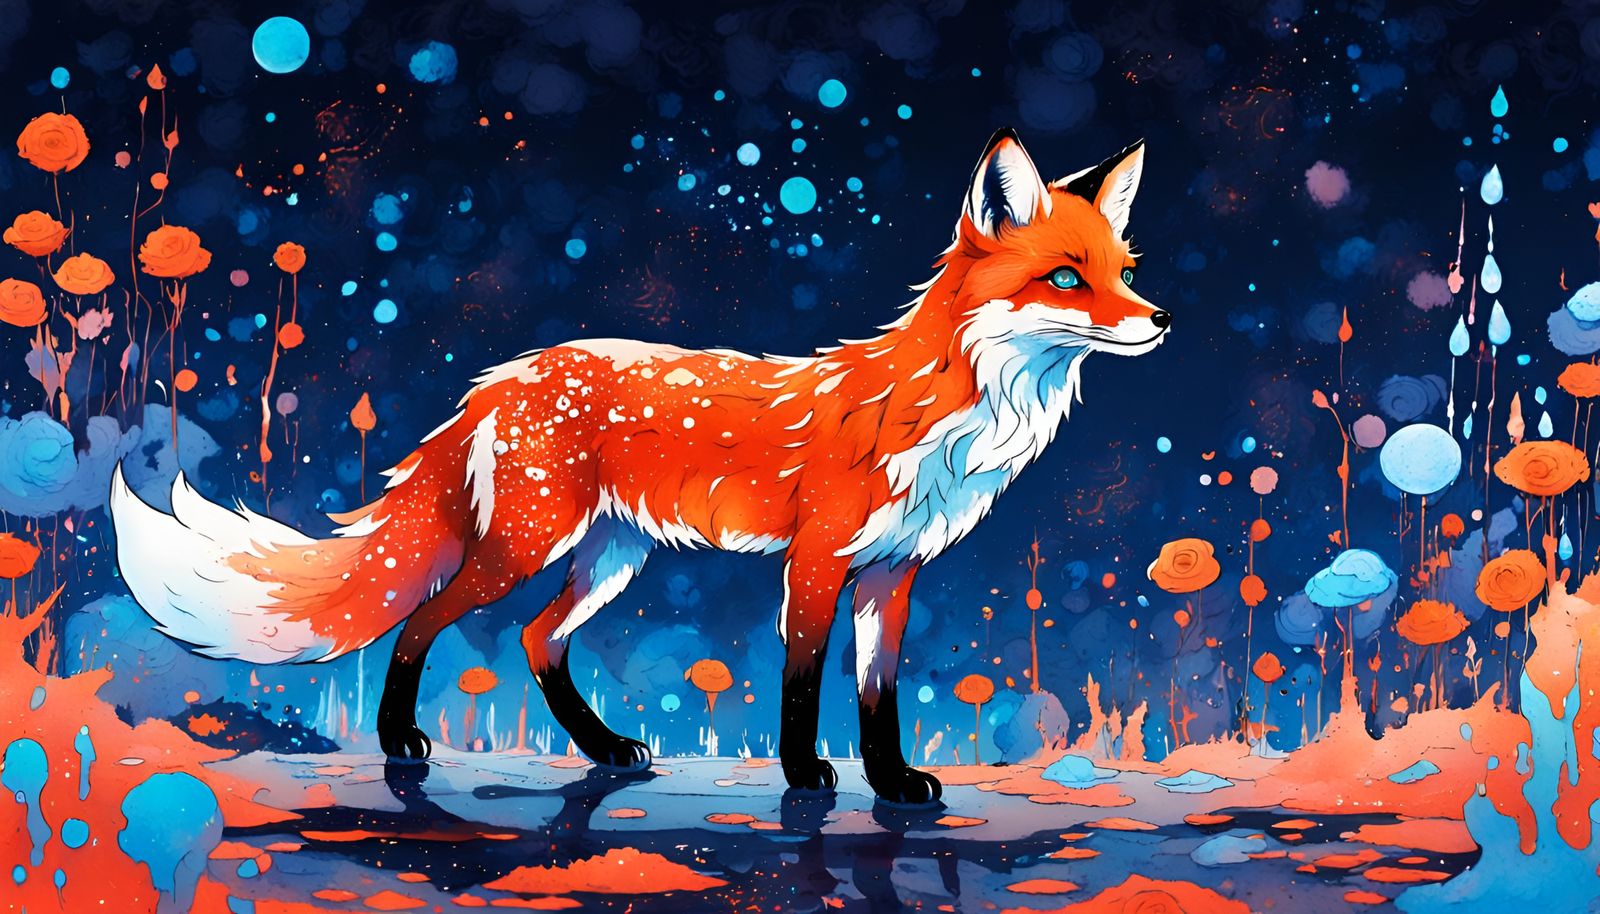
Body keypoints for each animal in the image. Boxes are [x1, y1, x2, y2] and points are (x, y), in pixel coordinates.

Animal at [109, 128, 1167, 805]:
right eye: (1063, 278)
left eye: (1122, 271)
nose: (1157, 321)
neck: (944, 416)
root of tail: (500, 378)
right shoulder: (818, 561)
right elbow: (800, 685)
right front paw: (804, 780)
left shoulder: (892, 575)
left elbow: (879, 699)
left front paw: (894, 783)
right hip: (525, 548)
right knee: (423, 623)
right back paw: (401, 743)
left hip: (611, 560)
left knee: (538, 640)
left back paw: (606, 748)